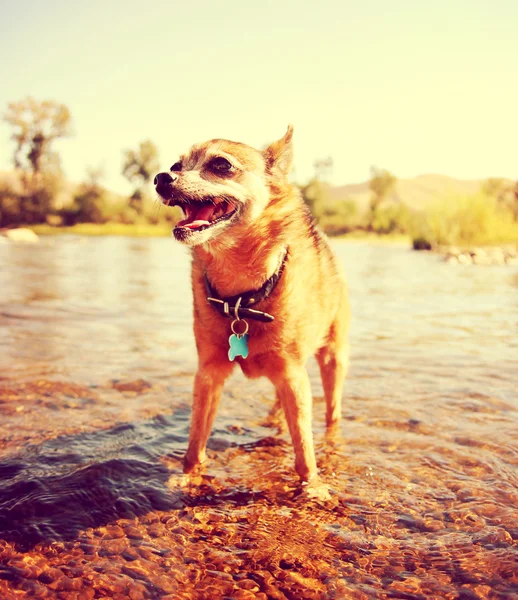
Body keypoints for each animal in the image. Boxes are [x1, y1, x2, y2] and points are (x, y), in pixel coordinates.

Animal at [153, 127, 350, 482]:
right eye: (176, 165)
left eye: (221, 165)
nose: (162, 177)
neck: (241, 298)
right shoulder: (208, 375)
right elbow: (195, 442)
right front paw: (189, 477)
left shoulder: (293, 376)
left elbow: (304, 450)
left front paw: (313, 486)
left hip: (332, 359)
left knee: (332, 411)